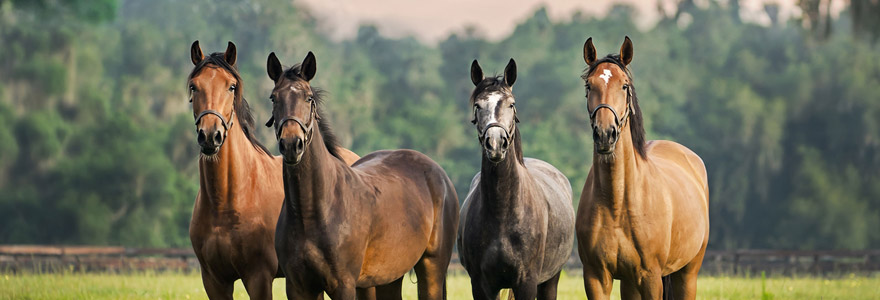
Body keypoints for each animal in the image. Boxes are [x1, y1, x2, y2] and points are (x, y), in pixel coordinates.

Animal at [187, 40, 360, 300]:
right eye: (194, 86)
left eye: (231, 86)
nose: (210, 135)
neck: (226, 202)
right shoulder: (214, 281)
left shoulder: (259, 277)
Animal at [264, 51, 460, 300]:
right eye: (273, 98)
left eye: (308, 98)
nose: (291, 145)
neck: (311, 212)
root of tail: (440, 175)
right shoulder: (299, 287)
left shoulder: (343, 285)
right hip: (388, 277)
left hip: (432, 267)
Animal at [454, 59, 576, 300]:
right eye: (478, 106)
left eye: (511, 104)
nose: (495, 143)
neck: (503, 212)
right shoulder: (481, 285)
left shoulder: (526, 282)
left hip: (551, 279)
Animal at [576, 35, 712, 300]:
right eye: (589, 86)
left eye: (624, 86)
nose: (605, 134)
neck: (616, 203)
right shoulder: (596, 278)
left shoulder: (650, 277)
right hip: (630, 282)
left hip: (687, 273)